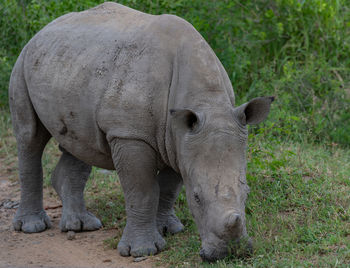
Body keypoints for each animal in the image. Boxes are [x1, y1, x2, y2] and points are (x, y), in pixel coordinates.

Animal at [8, 1, 274, 262]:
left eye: (247, 192)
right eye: (197, 197)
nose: (232, 254)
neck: (206, 101)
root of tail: (42, 30)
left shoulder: (179, 139)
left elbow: (168, 187)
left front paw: (168, 229)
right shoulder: (129, 133)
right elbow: (142, 190)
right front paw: (143, 250)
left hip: (70, 65)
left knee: (79, 144)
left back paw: (81, 225)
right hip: (23, 62)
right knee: (30, 138)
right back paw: (33, 227)